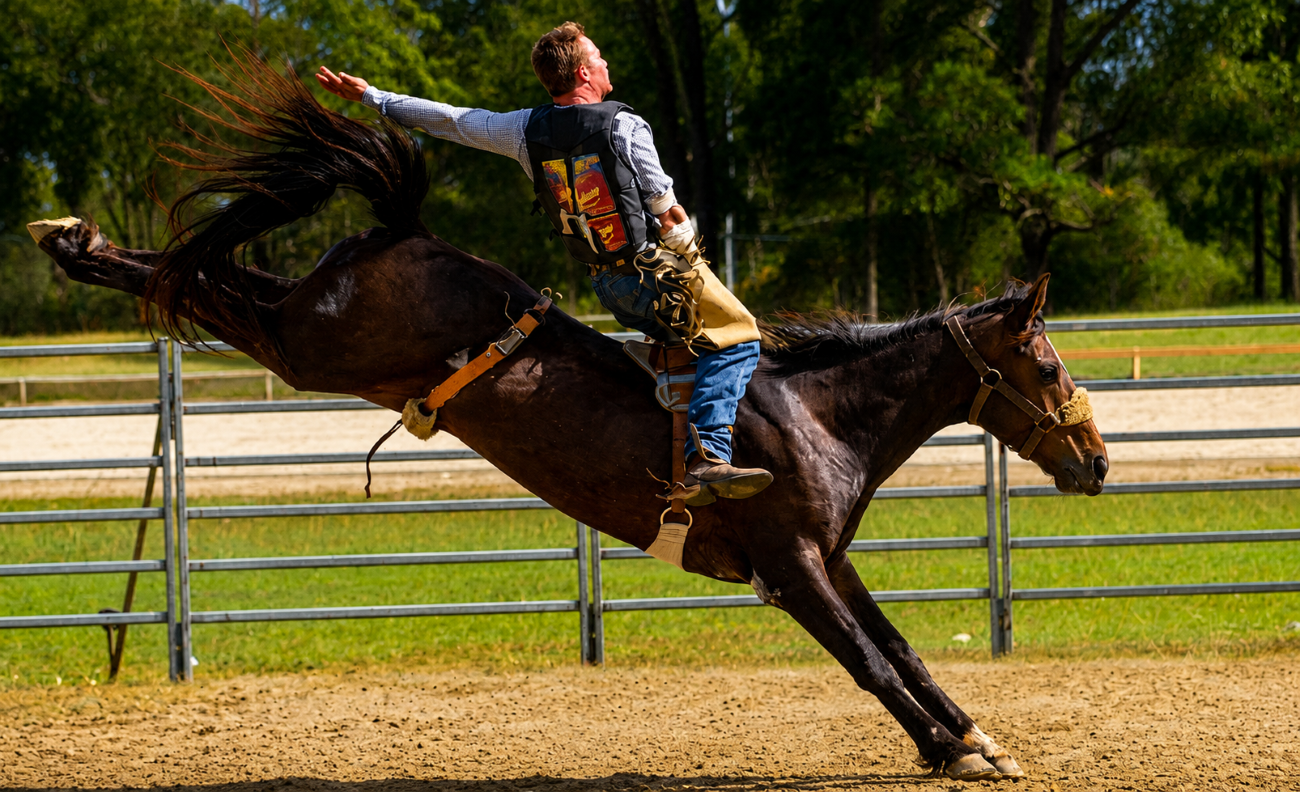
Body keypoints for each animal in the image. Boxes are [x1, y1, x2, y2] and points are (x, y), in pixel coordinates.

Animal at [28, 55, 1107, 782]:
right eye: (1048, 362)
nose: (1096, 462)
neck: (813, 413)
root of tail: (407, 234)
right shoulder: (791, 566)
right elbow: (868, 664)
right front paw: (949, 750)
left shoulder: (828, 558)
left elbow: (901, 648)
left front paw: (973, 737)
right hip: (314, 347)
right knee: (220, 293)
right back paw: (75, 243)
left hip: (316, 326)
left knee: (224, 278)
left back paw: (76, 239)